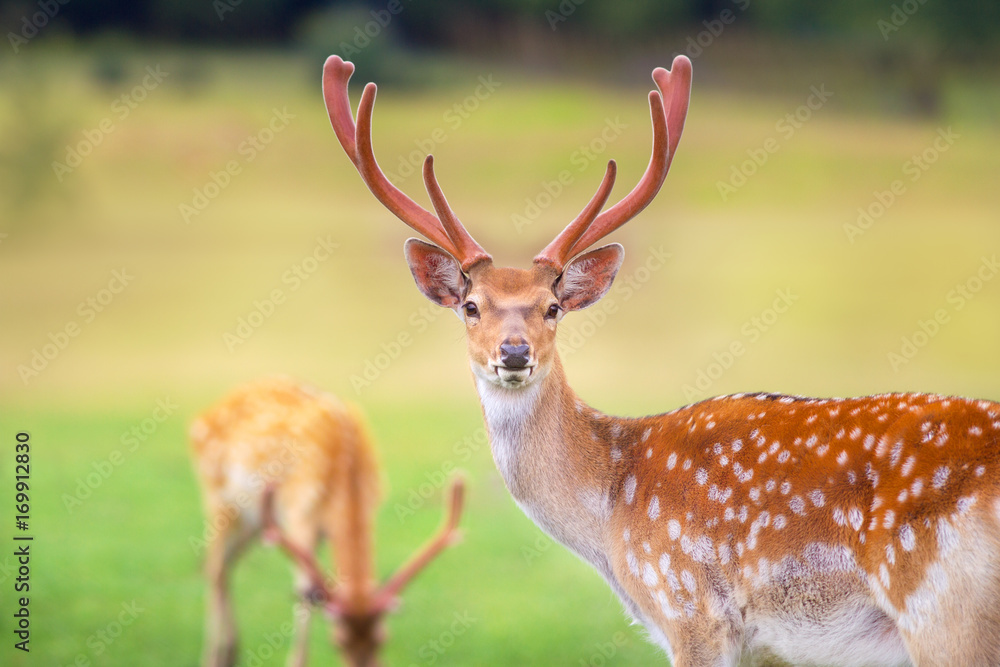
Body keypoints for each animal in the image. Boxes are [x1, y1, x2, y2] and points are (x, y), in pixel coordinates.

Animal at [190, 376, 465, 667]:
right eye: (338, 642)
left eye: (382, 639)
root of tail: (201, 417)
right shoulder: (299, 512)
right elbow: (305, 592)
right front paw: (296, 661)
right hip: (216, 495)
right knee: (215, 567)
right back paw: (212, 657)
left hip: (253, 521)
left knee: (226, 565)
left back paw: (231, 653)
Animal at [321, 54, 1000, 666]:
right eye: (469, 305)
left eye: (552, 307)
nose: (513, 352)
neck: (611, 514)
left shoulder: (689, 607)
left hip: (943, 612)